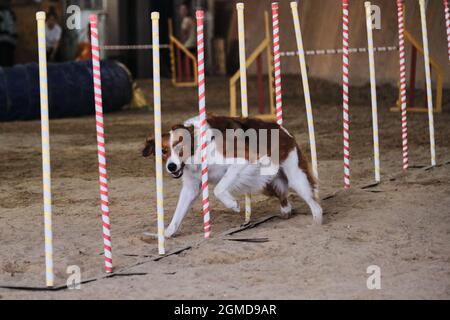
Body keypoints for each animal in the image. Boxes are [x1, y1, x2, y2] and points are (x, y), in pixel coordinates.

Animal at [142, 115, 322, 238]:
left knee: (315, 204)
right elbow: (178, 213)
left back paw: (316, 222)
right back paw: (286, 211)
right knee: (284, 199)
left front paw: (233, 204)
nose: (171, 167)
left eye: (180, 146)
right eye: (163, 151)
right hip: (269, 182)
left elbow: (219, 189)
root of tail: (284, 131)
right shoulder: (191, 187)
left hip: (296, 177)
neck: (200, 148)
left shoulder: (243, 160)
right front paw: (167, 234)